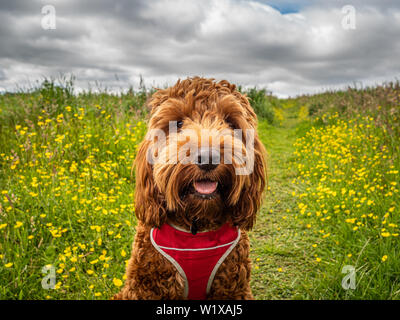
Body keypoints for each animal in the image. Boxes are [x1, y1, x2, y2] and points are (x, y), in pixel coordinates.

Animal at [113, 77, 266, 300]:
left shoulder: (234, 288)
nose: (208, 158)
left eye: (230, 122)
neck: (196, 225)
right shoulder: (143, 287)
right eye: (178, 123)